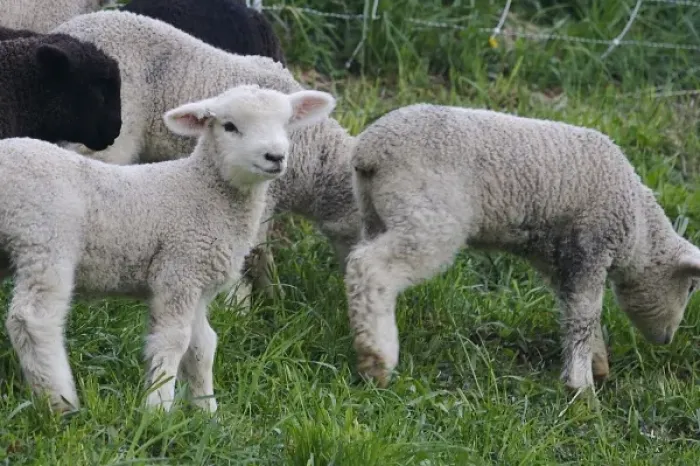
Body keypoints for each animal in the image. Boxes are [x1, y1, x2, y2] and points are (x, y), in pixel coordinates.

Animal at [1, 84, 336, 413]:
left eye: (286, 124)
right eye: (229, 126)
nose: (275, 156)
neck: (202, 189)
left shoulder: (199, 283)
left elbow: (202, 346)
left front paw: (206, 413)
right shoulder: (178, 271)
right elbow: (172, 340)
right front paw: (158, 407)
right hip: (46, 237)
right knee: (32, 321)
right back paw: (58, 402)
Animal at [344, 103, 700, 391]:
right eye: (692, 287)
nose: (666, 339)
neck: (639, 229)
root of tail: (369, 151)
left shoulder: (559, 261)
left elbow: (574, 311)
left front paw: (596, 362)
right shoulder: (591, 248)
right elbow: (584, 316)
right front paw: (582, 388)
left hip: (376, 213)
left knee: (359, 271)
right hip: (429, 216)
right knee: (372, 267)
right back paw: (377, 360)